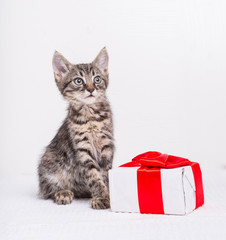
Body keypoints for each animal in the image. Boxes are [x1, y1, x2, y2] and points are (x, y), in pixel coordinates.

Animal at [38, 47, 115, 209]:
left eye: (97, 79)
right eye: (78, 81)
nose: (91, 89)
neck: (91, 116)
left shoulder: (107, 147)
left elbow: (106, 175)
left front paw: (108, 194)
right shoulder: (82, 150)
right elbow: (94, 176)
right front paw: (102, 196)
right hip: (48, 162)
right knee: (47, 190)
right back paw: (62, 193)